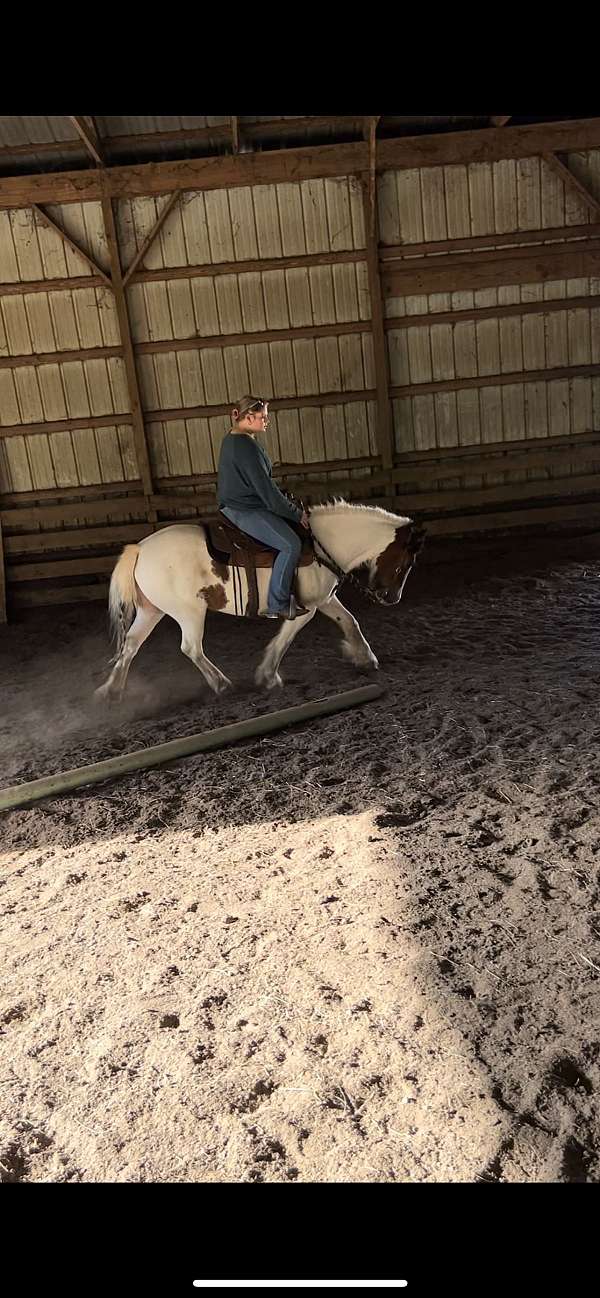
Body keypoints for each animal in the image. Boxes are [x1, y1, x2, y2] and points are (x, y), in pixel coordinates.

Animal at [96, 501, 423, 700]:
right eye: (406, 562)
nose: (391, 597)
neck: (321, 546)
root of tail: (140, 548)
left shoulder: (325, 599)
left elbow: (350, 622)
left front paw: (365, 658)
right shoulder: (306, 608)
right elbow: (285, 638)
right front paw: (267, 676)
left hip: (151, 611)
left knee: (131, 645)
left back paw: (112, 691)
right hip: (189, 612)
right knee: (190, 648)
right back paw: (221, 683)